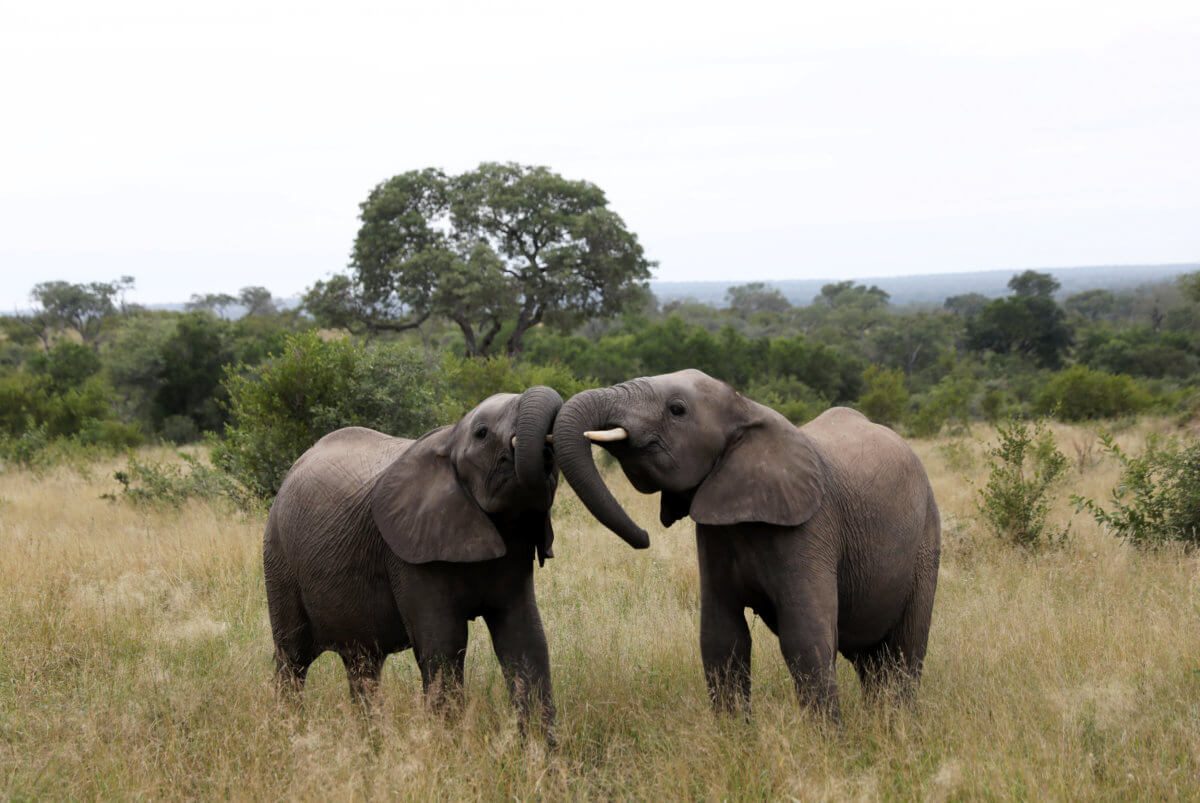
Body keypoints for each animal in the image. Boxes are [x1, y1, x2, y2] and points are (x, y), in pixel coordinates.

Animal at [262, 384, 585, 734]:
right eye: (482, 433)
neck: (450, 438)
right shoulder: (409, 556)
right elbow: (444, 646)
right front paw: (448, 745)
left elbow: (525, 638)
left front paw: (539, 749)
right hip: (278, 559)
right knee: (292, 657)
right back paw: (288, 730)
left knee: (362, 663)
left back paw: (371, 740)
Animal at [552, 372, 936, 720]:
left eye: (677, 410)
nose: (643, 537)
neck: (746, 408)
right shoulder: (715, 532)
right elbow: (722, 636)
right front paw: (733, 736)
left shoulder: (812, 527)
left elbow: (805, 636)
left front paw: (827, 743)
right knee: (871, 660)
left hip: (927, 539)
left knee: (906, 649)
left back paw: (897, 724)